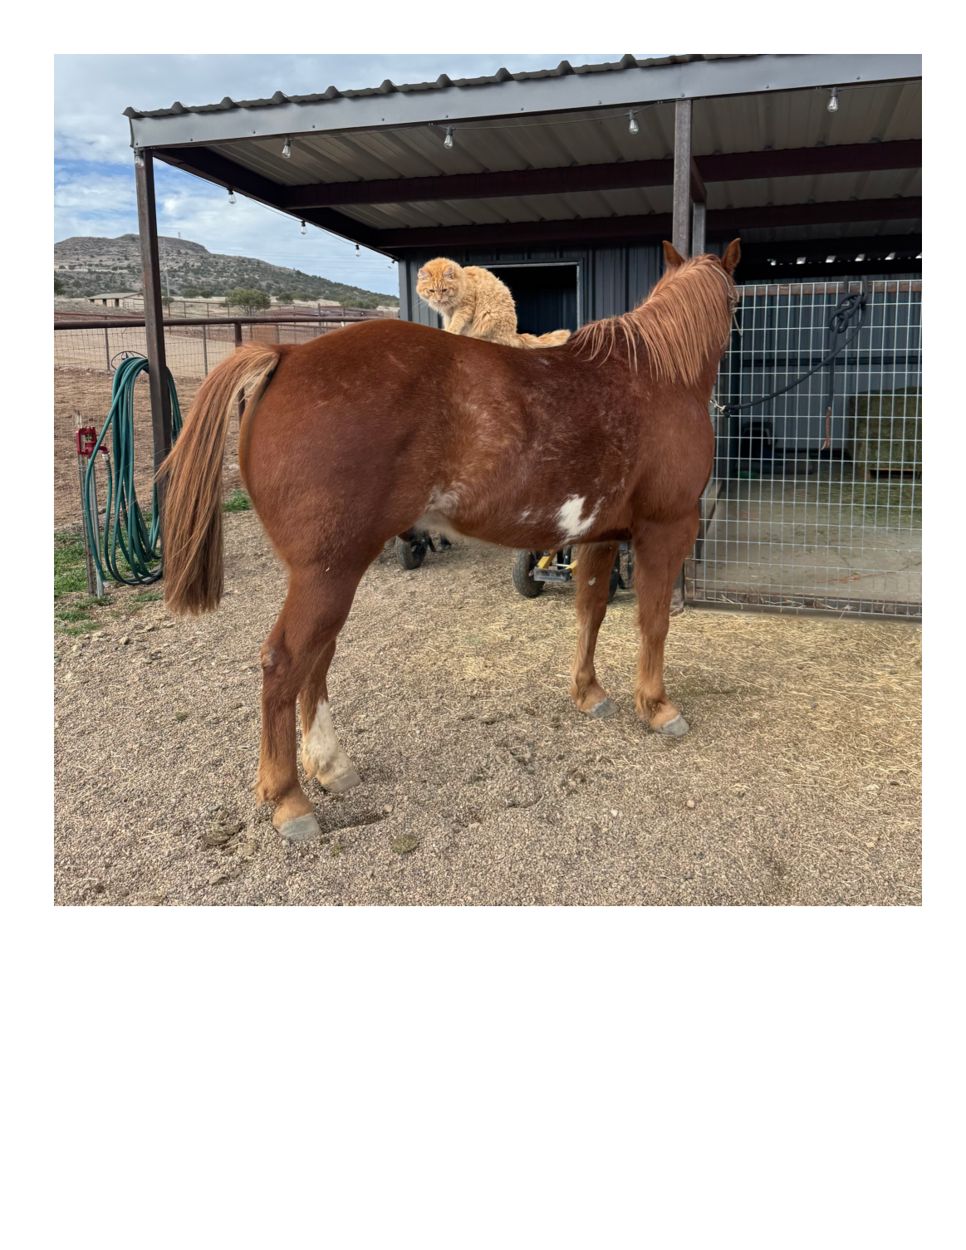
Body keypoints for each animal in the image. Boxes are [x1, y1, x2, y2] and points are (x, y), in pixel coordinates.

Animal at [160, 239, 741, 842]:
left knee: (316, 660)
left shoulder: (599, 536)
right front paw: (657, 706)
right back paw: (289, 800)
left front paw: (590, 693)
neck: (656, 375)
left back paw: (331, 767)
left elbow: (592, 611)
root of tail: (286, 356)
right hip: (328, 572)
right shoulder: (665, 529)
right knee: (284, 663)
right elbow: (654, 620)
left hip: (330, 573)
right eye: (738, 300)